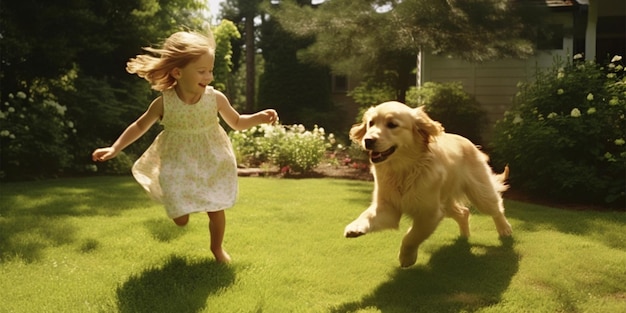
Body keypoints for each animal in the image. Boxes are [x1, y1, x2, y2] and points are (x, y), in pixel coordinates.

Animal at [344, 101, 510, 266]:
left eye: (392, 125)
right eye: (371, 123)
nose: (368, 140)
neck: (404, 170)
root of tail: (469, 142)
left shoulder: (429, 213)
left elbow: (412, 237)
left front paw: (406, 258)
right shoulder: (388, 206)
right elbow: (368, 215)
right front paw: (355, 227)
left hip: (479, 192)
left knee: (496, 208)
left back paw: (505, 229)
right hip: (445, 202)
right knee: (464, 212)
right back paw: (464, 235)